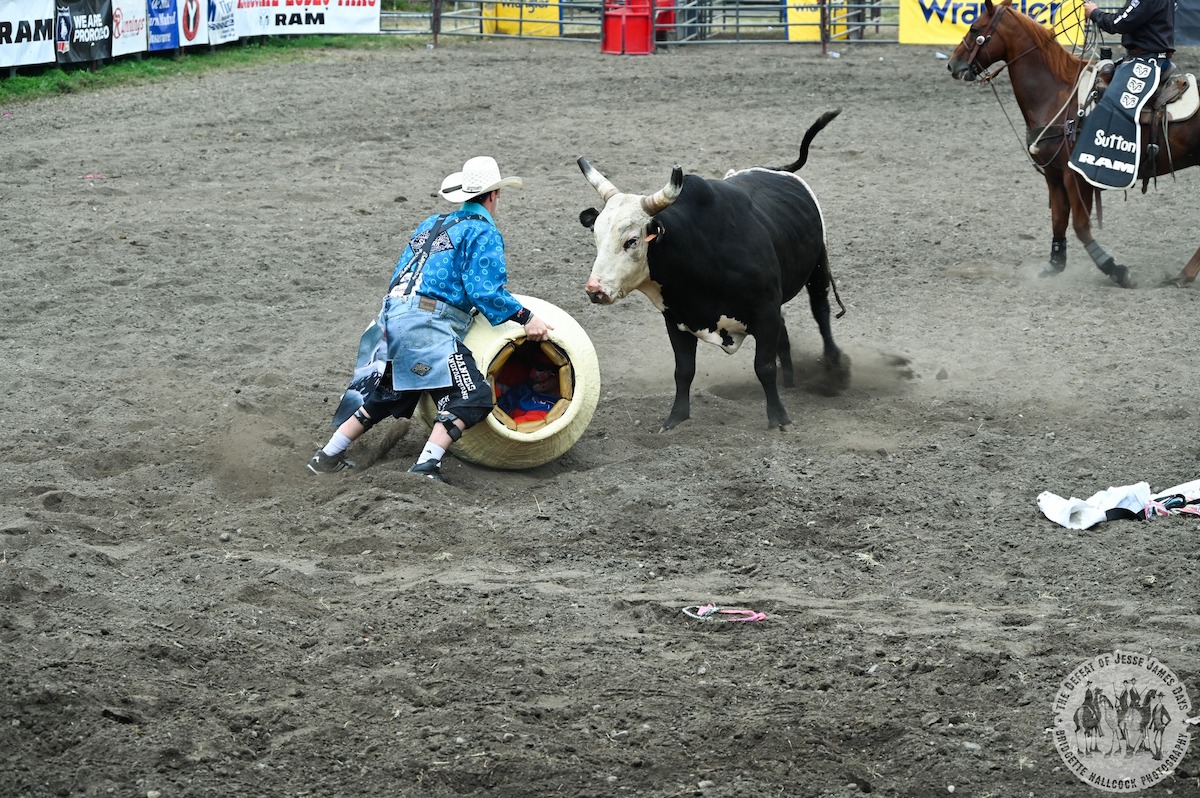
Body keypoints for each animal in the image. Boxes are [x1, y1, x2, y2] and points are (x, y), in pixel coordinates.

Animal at [576, 109, 849, 432]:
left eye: (632, 240)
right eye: (596, 237)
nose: (595, 290)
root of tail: (776, 169)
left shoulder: (765, 311)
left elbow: (764, 367)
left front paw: (778, 418)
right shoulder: (676, 319)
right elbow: (684, 371)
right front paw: (675, 419)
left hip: (817, 267)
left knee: (821, 312)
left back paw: (834, 366)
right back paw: (791, 383)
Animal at [945, 0, 1200, 286]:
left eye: (974, 28)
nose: (953, 65)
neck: (1056, 94)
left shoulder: (1074, 175)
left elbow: (1080, 225)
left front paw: (1114, 268)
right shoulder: (1054, 175)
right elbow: (1058, 219)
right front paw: (1054, 265)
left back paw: (1183, 275)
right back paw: (1184, 275)